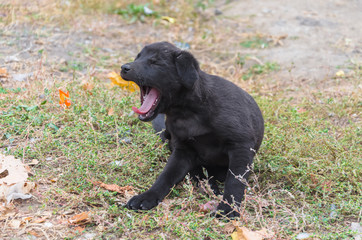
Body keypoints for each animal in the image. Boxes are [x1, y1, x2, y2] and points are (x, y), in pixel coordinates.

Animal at [120, 41, 264, 218]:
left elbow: (235, 182)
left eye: (155, 63)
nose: (124, 67)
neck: (188, 113)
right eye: (137, 58)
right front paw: (147, 196)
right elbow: (166, 176)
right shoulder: (182, 150)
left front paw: (228, 209)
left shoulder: (241, 146)